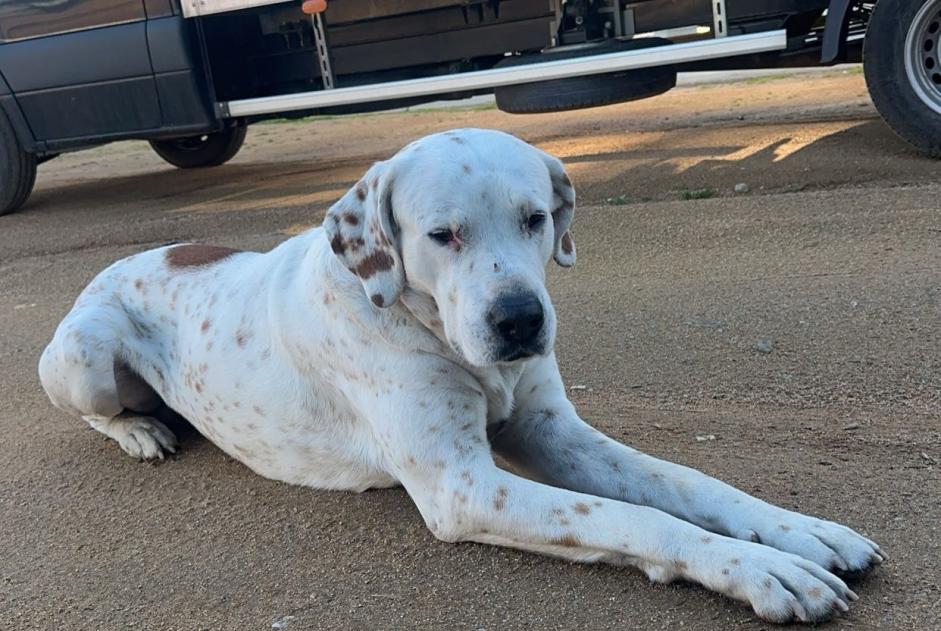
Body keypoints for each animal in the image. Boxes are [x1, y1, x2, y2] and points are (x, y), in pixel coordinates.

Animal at [40, 127, 880, 624]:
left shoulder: (554, 431)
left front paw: (799, 531)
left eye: (535, 217)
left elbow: (687, 483)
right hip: (82, 357)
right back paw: (142, 429)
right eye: (442, 234)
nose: (520, 321)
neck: (431, 328)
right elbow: (637, 519)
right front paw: (762, 570)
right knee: (97, 407)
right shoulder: (464, 486)